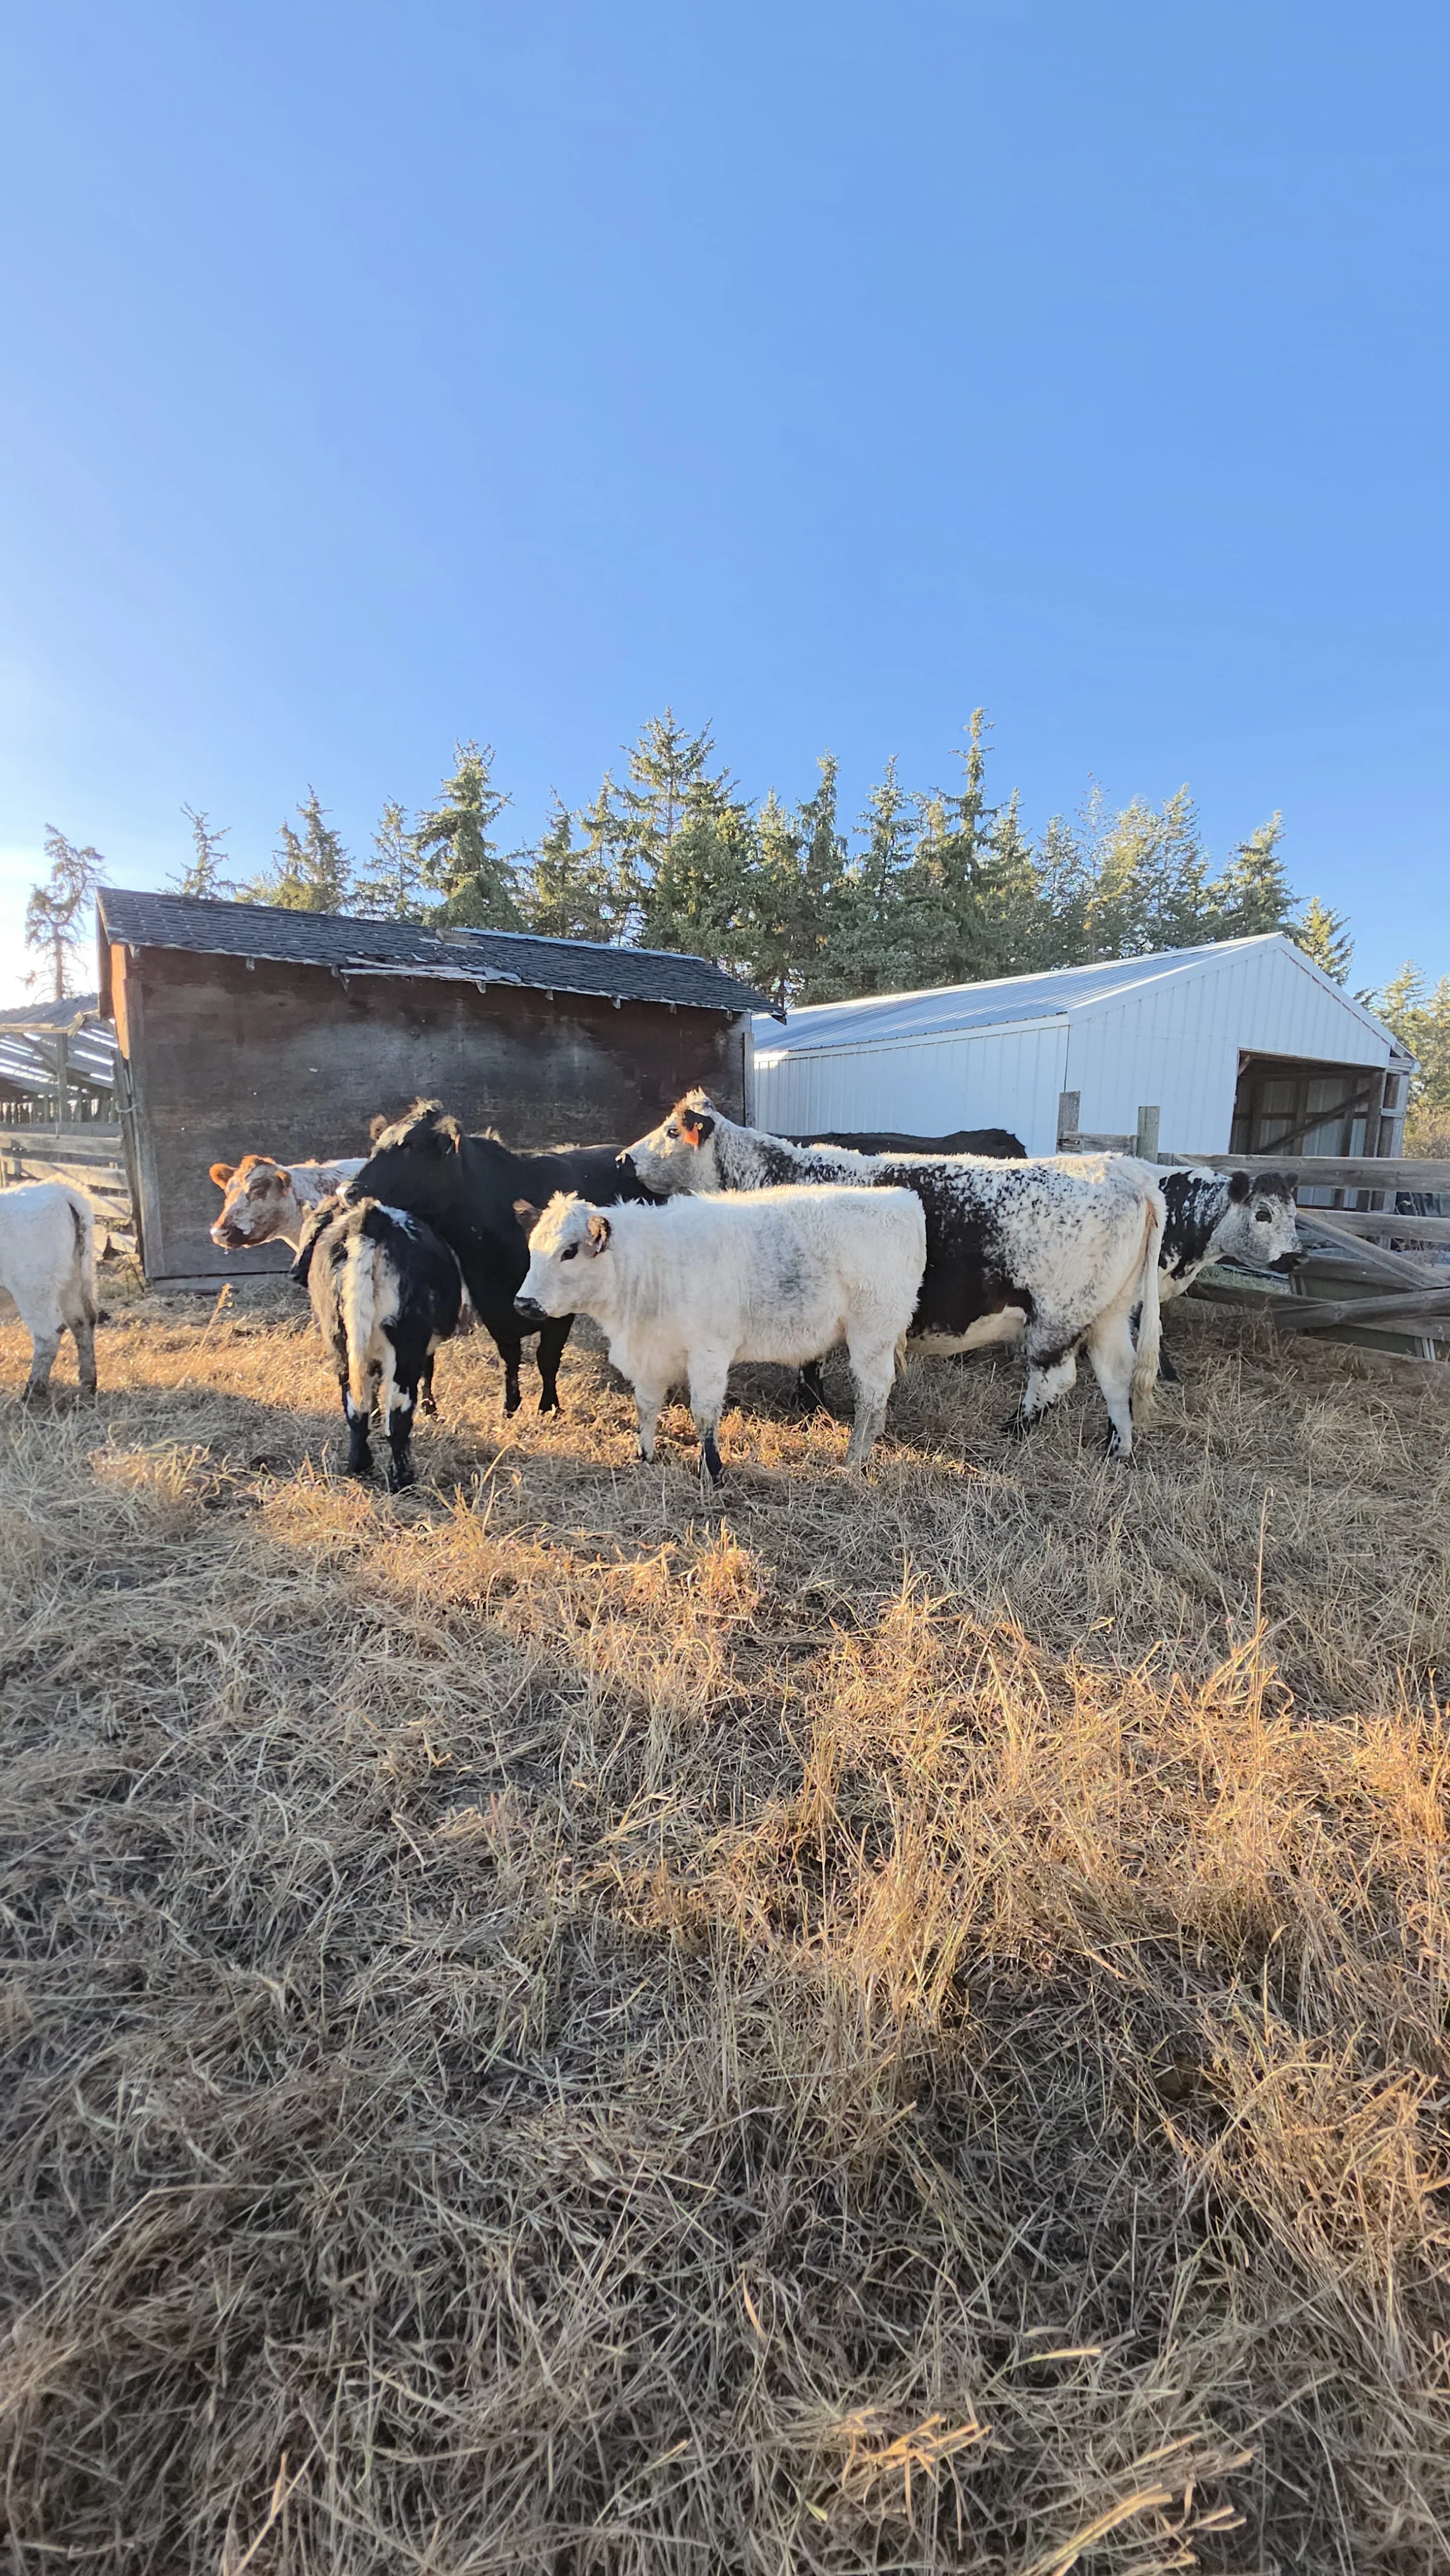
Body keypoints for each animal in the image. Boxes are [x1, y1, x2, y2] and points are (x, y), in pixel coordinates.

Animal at [0, 1181, 99, 1399]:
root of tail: (61, 1192)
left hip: (33, 1288)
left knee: (49, 1335)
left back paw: (32, 1393)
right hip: (73, 1279)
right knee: (82, 1322)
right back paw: (88, 1385)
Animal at [291, 1196, 465, 1489]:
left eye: (312, 1235)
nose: (295, 1273)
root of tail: (370, 1220)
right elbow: (428, 1373)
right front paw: (431, 1409)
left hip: (341, 1342)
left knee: (355, 1406)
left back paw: (359, 1464)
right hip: (406, 1348)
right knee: (399, 1414)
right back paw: (402, 1480)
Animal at [343, 1100, 661, 1417]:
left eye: (410, 1145)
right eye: (376, 1145)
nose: (349, 1190)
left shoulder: (557, 1310)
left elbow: (547, 1357)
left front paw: (549, 1406)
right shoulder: (492, 1306)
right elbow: (510, 1356)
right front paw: (510, 1405)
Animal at [513, 1185, 926, 1485]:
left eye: (569, 1251)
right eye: (531, 1248)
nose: (523, 1303)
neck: (652, 1265)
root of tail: (902, 1200)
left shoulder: (709, 1353)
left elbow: (704, 1413)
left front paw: (712, 1472)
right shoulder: (649, 1355)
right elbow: (646, 1407)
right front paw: (643, 1457)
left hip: (872, 1335)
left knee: (871, 1397)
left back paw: (854, 1460)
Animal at [625, 1092, 1165, 1457]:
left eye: (671, 1132)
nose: (623, 1157)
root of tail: (1122, 1167)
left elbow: (809, 1360)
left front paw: (810, 1406)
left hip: (1058, 1316)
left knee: (1055, 1379)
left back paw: (1014, 1429)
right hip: (1110, 1314)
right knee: (1116, 1373)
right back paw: (1116, 1447)